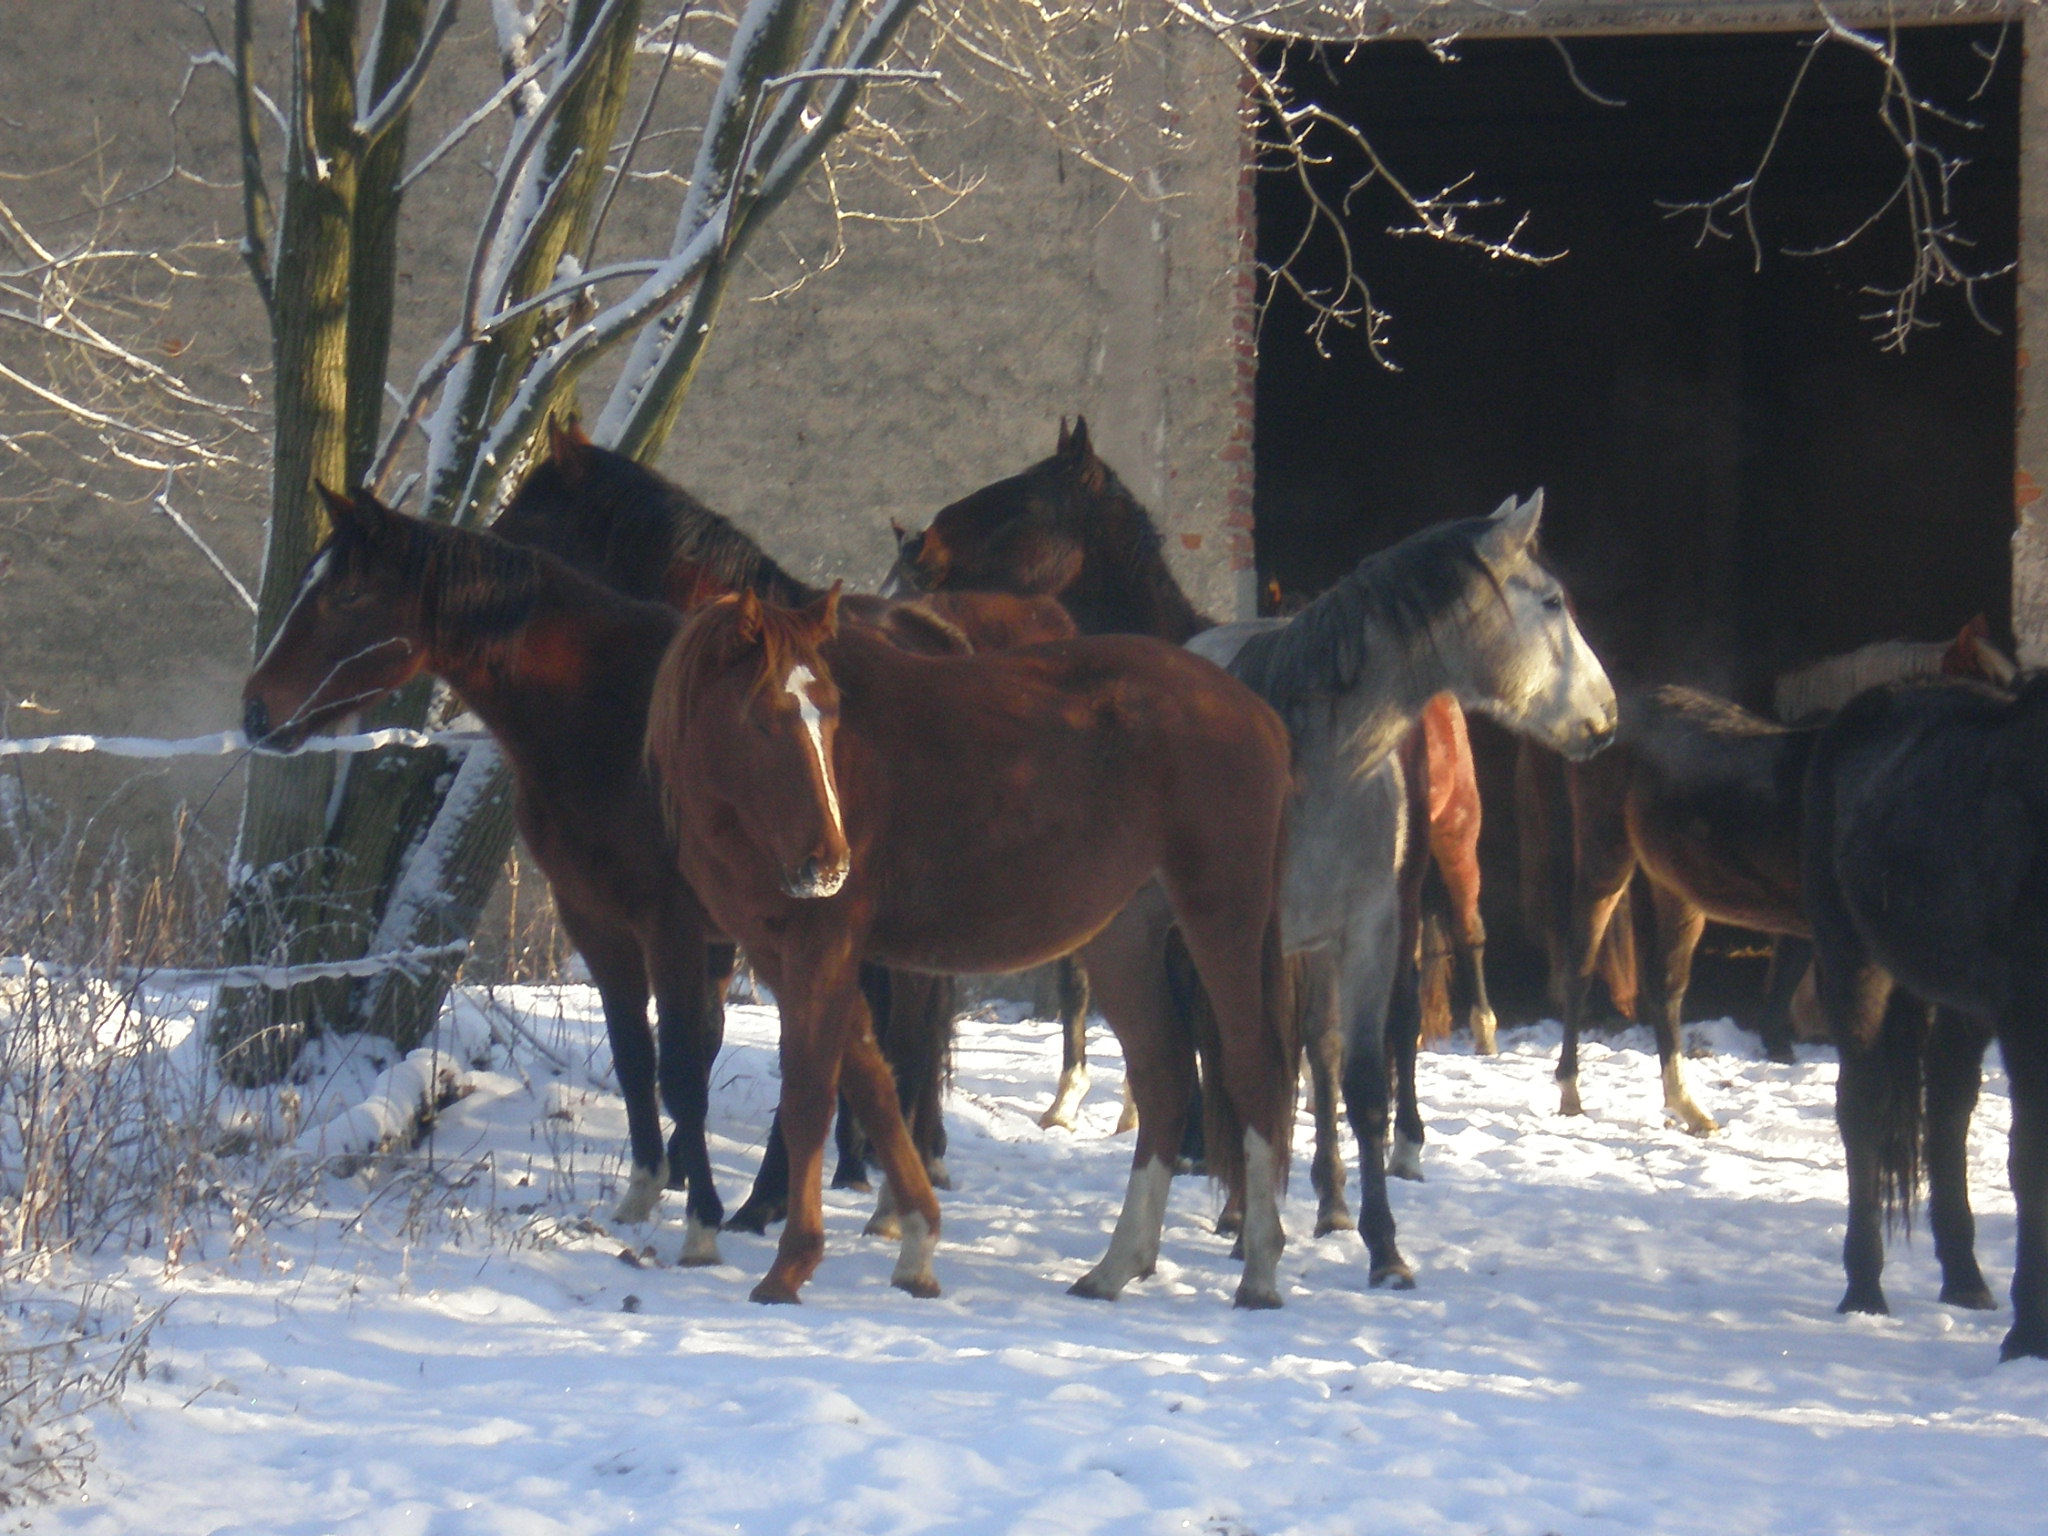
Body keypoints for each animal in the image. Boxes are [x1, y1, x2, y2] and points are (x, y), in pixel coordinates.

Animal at [243, 487, 733, 1269]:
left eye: (348, 593)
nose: (256, 711)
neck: (615, 712)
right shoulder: (596, 918)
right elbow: (637, 1055)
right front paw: (645, 1191)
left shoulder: (674, 925)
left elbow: (683, 1066)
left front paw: (703, 1224)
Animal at [638, 589, 1294, 1310]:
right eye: (761, 717)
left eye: (831, 713)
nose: (827, 864)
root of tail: (1252, 710)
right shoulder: (777, 952)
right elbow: (872, 1080)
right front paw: (916, 1241)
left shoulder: (821, 947)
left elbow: (812, 1092)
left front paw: (791, 1266)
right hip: (1124, 935)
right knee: (1164, 1077)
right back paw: (1115, 1266)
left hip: (1220, 915)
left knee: (1252, 1068)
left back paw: (1260, 1269)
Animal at [1810, 679, 2048, 1368]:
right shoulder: (2026, 1018)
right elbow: (2032, 1161)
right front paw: (2029, 1338)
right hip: (1854, 960)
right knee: (1862, 1107)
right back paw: (1864, 1291)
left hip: (1962, 1001)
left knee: (1946, 1106)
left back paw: (1965, 1281)